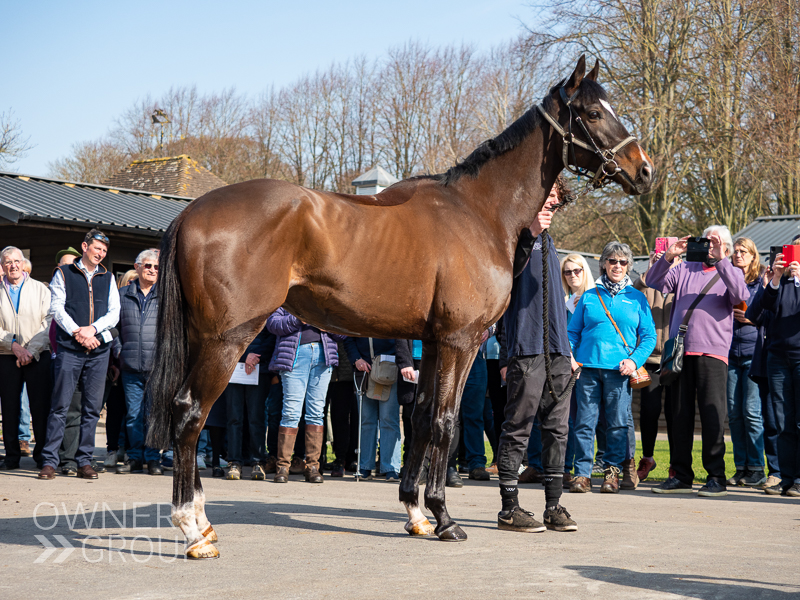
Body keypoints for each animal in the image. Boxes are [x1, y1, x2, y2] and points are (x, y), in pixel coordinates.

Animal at [147, 56, 652, 556]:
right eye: (593, 113)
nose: (644, 170)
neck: (477, 212)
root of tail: (190, 213)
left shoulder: (433, 343)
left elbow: (424, 417)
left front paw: (416, 513)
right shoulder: (460, 342)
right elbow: (445, 423)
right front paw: (445, 518)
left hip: (203, 338)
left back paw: (201, 523)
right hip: (227, 339)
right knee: (190, 412)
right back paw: (193, 529)